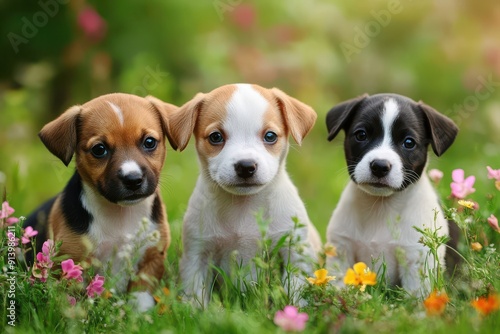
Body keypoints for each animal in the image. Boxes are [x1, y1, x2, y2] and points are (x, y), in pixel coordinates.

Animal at [23, 92, 180, 312]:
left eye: (149, 142)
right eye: (99, 149)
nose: (133, 179)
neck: (121, 214)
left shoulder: (151, 258)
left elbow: (141, 296)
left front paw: (141, 315)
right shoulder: (72, 262)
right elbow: (72, 301)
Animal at [168, 84, 322, 308]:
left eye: (270, 136)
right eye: (216, 137)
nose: (246, 166)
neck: (243, 208)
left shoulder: (294, 253)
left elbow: (296, 291)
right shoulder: (197, 255)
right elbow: (196, 295)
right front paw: (198, 311)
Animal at [324, 93, 458, 294]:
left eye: (409, 142)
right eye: (361, 135)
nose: (380, 166)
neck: (381, 206)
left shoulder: (417, 260)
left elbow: (416, 296)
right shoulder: (341, 249)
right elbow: (338, 286)